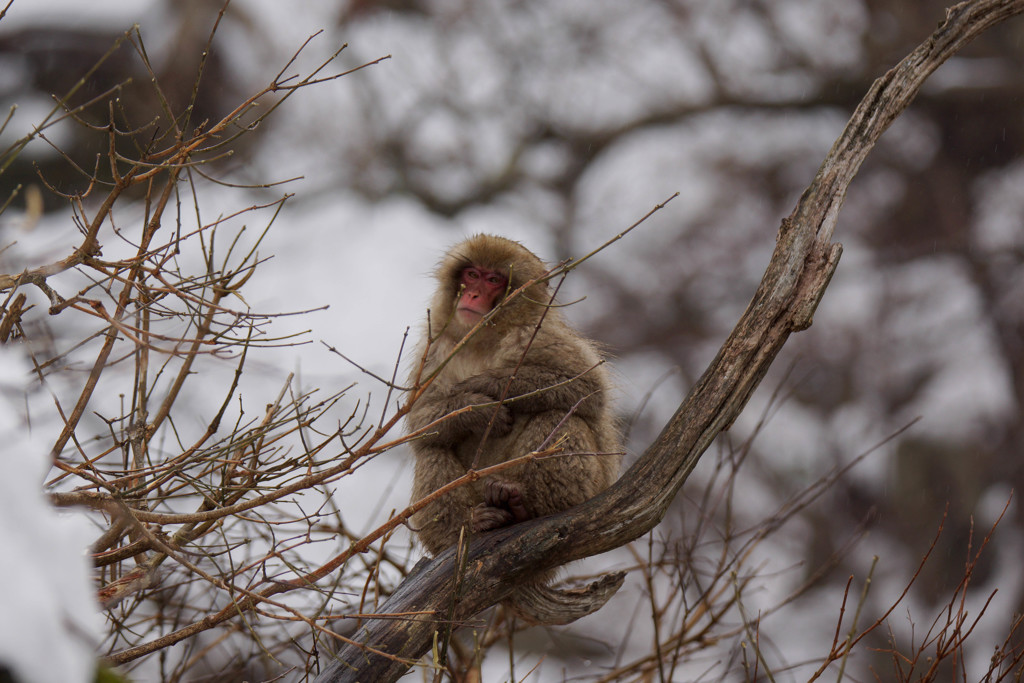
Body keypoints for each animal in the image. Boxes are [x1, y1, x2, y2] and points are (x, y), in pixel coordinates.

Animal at [403, 233, 618, 626]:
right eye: (471, 274)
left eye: (493, 280)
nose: (472, 295)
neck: (485, 337)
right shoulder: (437, 345)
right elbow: (420, 423)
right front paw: (476, 412)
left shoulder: (537, 332)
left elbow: (588, 389)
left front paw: (491, 385)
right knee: (432, 450)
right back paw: (475, 524)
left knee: (558, 416)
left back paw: (524, 509)